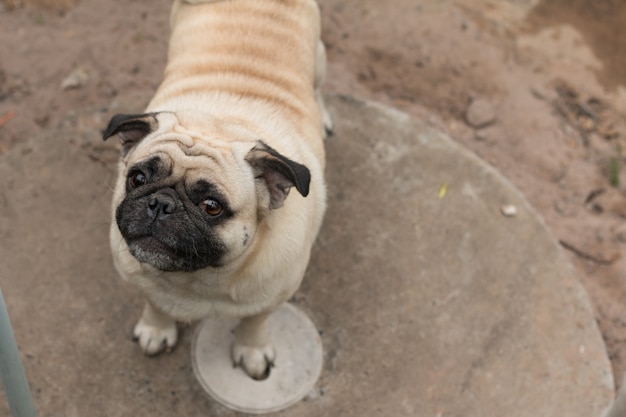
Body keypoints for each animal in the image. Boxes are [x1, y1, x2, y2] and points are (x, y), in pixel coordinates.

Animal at [101, 0, 332, 378]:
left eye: (212, 206)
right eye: (137, 179)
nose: (161, 203)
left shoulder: (274, 295)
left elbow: (254, 322)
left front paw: (252, 351)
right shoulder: (138, 276)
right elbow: (154, 302)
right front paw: (156, 328)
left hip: (319, 59)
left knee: (319, 88)